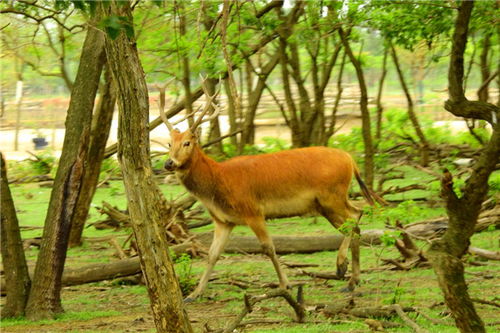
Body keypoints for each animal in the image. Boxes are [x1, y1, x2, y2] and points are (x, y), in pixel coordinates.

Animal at [160, 81, 382, 300]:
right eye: (169, 143)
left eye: (187, 143)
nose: (169, 163)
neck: (218, 183)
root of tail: (350, 159)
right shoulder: (223, 220)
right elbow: (213, 254)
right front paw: (194, 294)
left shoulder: (253, 211)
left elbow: (269, 248)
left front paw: (285, 285)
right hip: (325, 204)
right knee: (353, 221)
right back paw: (352, 281)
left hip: (332, 195)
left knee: (355, 216)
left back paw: (341, 267)